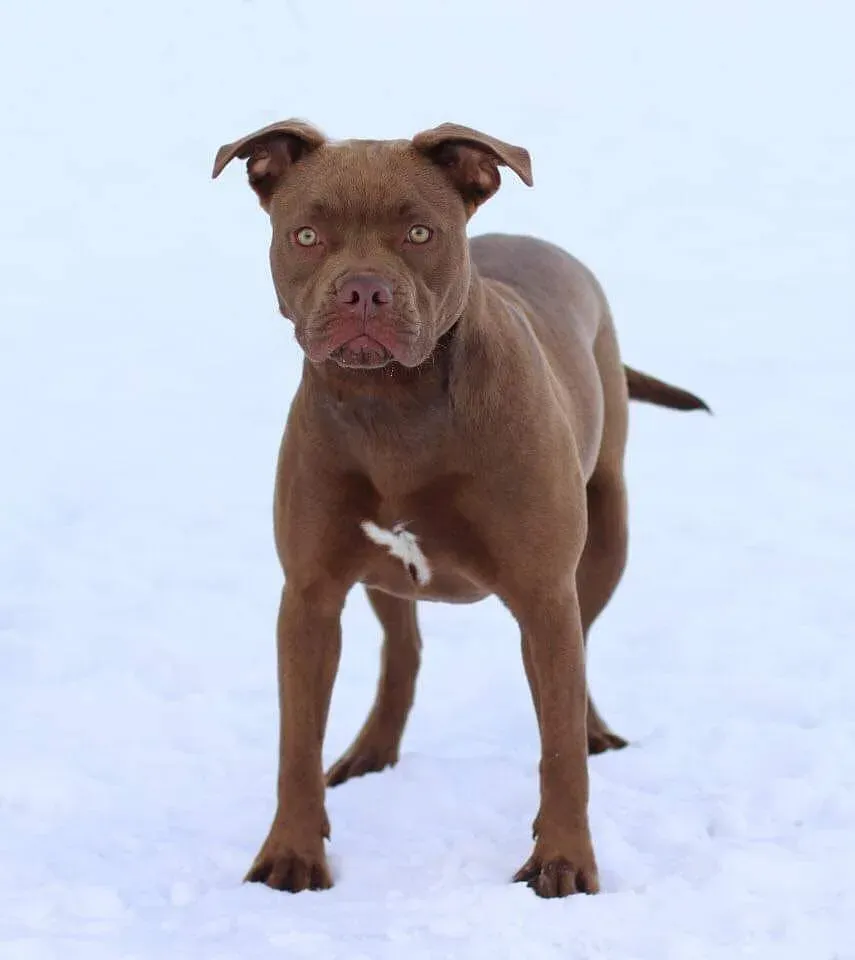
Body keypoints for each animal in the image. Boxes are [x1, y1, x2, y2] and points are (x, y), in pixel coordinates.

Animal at [212, 122, 708, 900]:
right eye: (306, 235)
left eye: (420, 232)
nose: (363, 290)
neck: (393, 406)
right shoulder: (310, 596)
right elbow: (296, 742)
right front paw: (291, 853)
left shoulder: (544, 594)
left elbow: (558, 749)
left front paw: (563, 862)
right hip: (384, 578)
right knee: (403, 653)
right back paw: (370, 752)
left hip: (607, 533)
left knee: (580, 658)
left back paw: (594, 731)